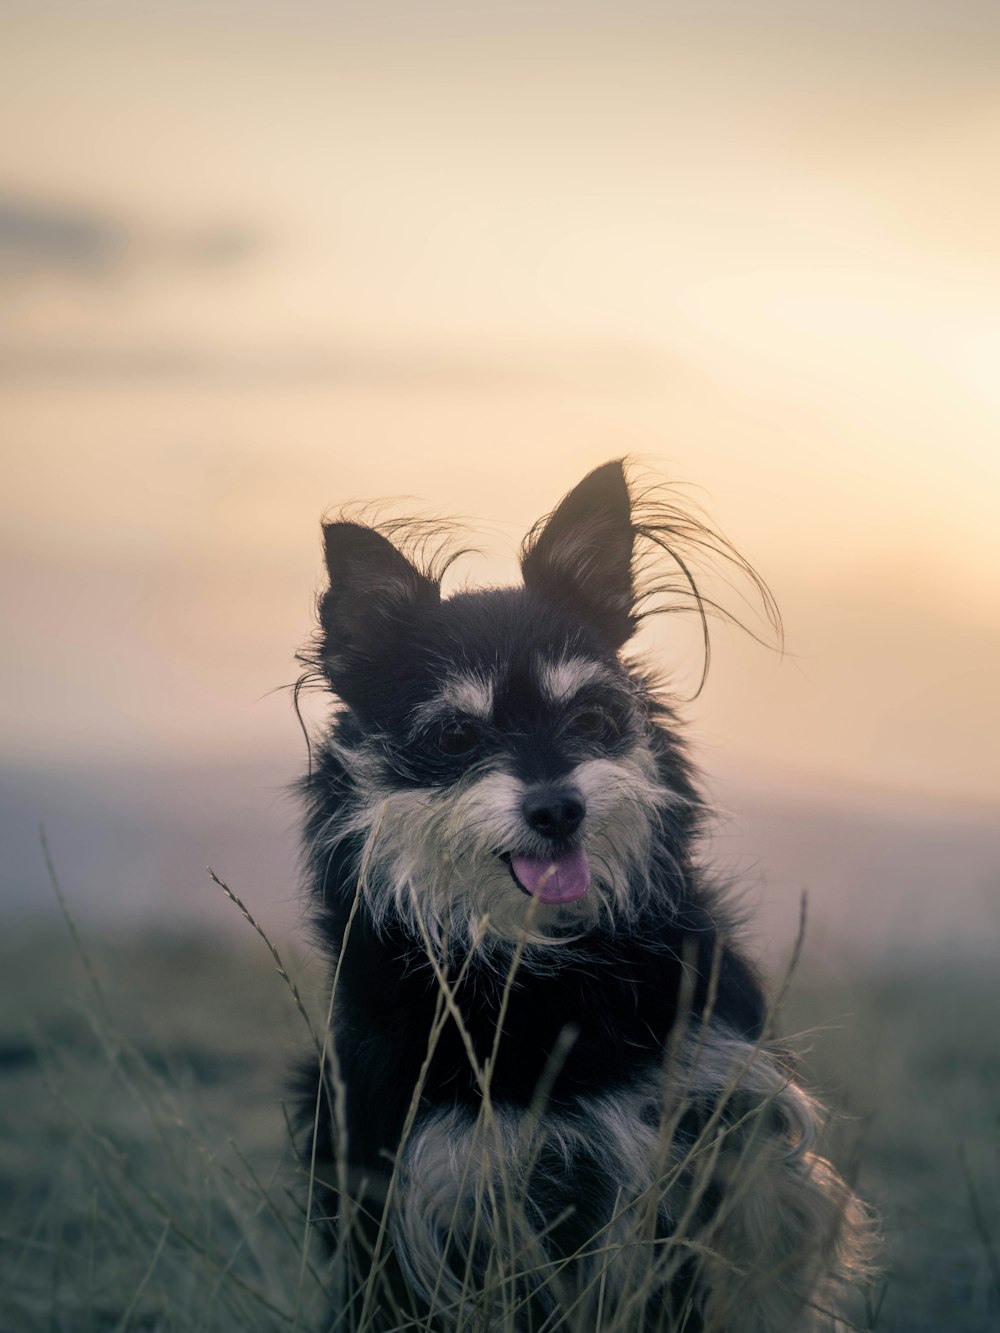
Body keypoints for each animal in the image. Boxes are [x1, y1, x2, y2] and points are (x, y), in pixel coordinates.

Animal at [293, 461, 874, 1333]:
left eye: (594, 717)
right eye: (456, 736)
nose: (558, 808)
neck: (550, 967)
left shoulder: (714, 1131)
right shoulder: (445, 1176)